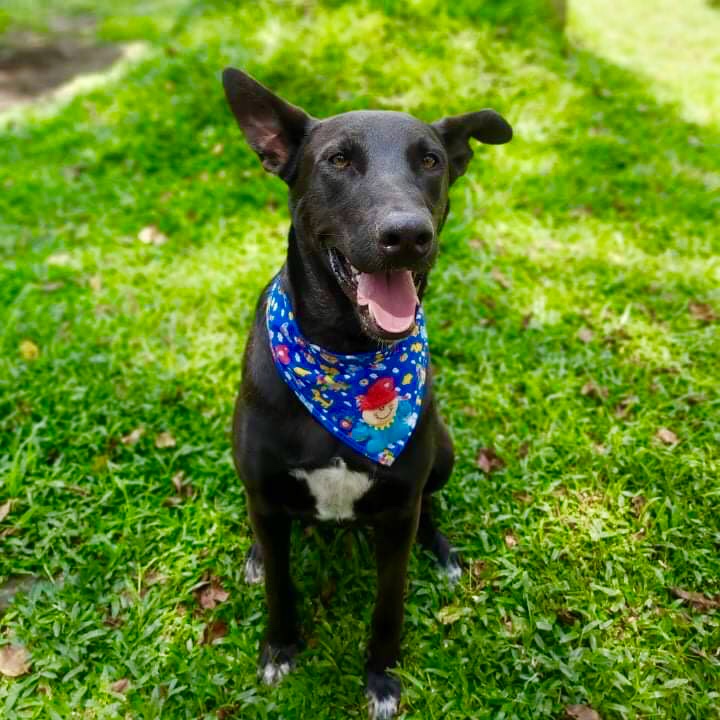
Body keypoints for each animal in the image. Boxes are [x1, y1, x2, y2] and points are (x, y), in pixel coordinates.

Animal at [222, 69, 510, 720]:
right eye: (338, 160)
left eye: (430, 160)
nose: (407, 236)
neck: (348, 358)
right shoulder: (268, 497)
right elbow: (280, 584)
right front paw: (280, 648)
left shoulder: (397, 512)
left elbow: (389, 604)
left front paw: (382, 677)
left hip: (444, 451)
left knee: (431, 502)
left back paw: (443, 551)